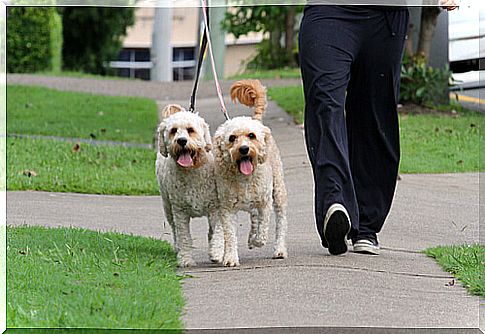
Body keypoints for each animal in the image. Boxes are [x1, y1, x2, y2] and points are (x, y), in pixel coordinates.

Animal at [155, 105, 223, 268]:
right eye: (173, 130)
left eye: (190, 130)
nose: (181, 141)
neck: (192, 170)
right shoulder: (180, 211)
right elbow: (184, 236)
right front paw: (185, 259)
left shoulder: (216, 207)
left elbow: (218, 231)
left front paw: (217, 252)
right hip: (168, 207)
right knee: (174, 230)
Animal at [213, 79, 288, 268]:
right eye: (232, 138)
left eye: (251, 136)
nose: (244, 149)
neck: (244, 178)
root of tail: (257, 121)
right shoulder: (227, 208)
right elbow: (230, 235)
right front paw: (230, 257)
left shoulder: (265, 202)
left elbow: (264, 227)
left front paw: (258, 240)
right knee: (254, 217)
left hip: (278, 191)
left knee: (280, 221)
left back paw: (279, 249)